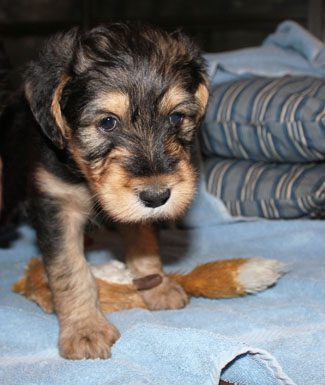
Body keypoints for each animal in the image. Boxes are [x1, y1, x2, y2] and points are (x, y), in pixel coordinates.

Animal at [0, 23, 208, 360]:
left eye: (176, 117)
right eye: (107, 122)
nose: (157, 197)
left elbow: (144, 241)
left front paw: (157, 285)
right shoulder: (56, 204)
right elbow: (70, 269)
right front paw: (85, 329)